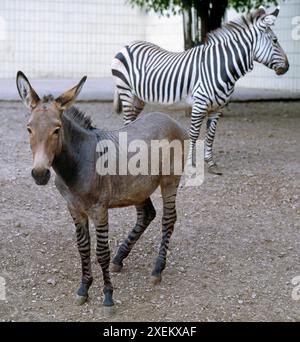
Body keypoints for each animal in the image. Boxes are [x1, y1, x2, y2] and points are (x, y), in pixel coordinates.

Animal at [112, 6, 288, 175]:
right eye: (275, 40)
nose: (287, 67)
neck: (220, 67)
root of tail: (129, 45)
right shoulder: (199, 105)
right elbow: (194, 134)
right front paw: (190, 165)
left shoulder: (217, 108)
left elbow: (211, 135)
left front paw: (211, 163)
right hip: (126, 92)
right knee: (127, 121)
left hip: (139, 98)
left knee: (132, 121)